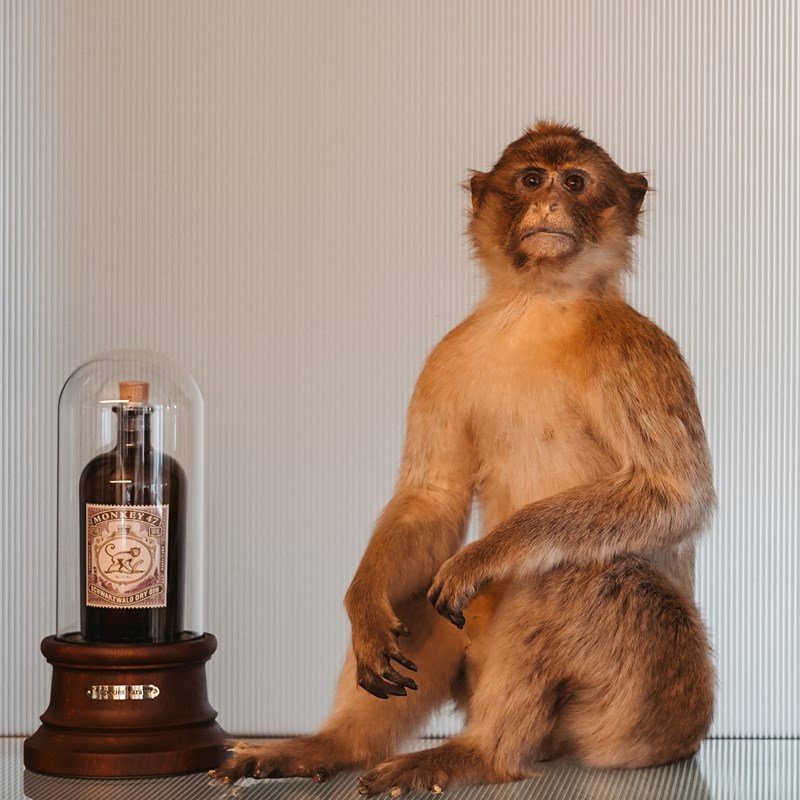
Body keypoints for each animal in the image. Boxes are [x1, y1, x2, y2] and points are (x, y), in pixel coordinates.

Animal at [211, 122, 715, 794]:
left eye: (574, 182)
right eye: (531, 178)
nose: (547, 206)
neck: (538, 303)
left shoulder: (635, 349)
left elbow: (676, 493)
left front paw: (489, 551)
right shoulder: (447, 355)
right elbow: (432, 498)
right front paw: (363, 605)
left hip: (646, 718)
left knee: (581, 571)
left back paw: (482, 752)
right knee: (421, 585)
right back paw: (334, 744)